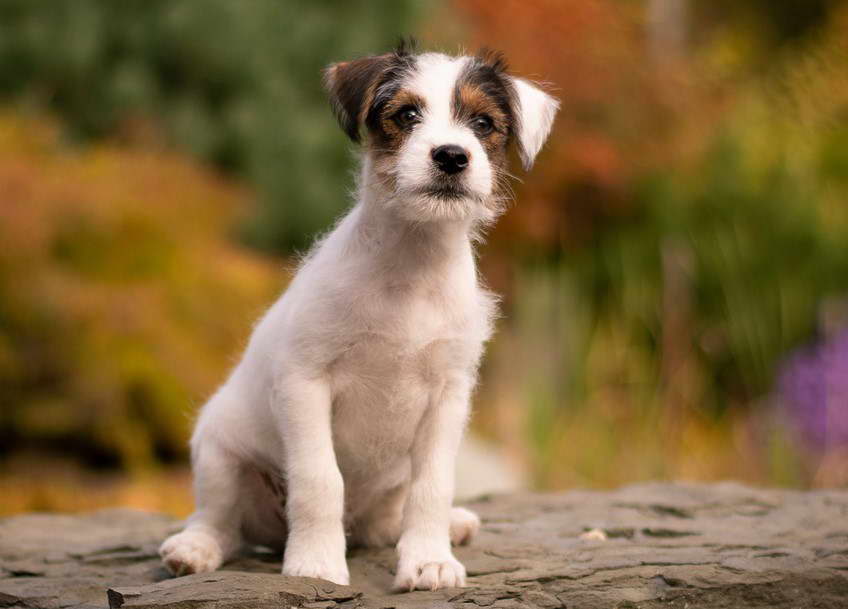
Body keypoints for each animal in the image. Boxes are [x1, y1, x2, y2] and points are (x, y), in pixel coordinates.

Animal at [158, 44, 556, 592]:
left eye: (482, 123)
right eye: (407, 115)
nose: (452, 156)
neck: (410, 265)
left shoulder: (449, 396)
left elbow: (433, 486)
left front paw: (429, 560)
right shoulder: (304, 381)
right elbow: (320, 480)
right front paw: (316, 563)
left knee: (389, 519)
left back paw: (450, 525)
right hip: (218, 449)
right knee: (220, 522)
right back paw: (194, 549)